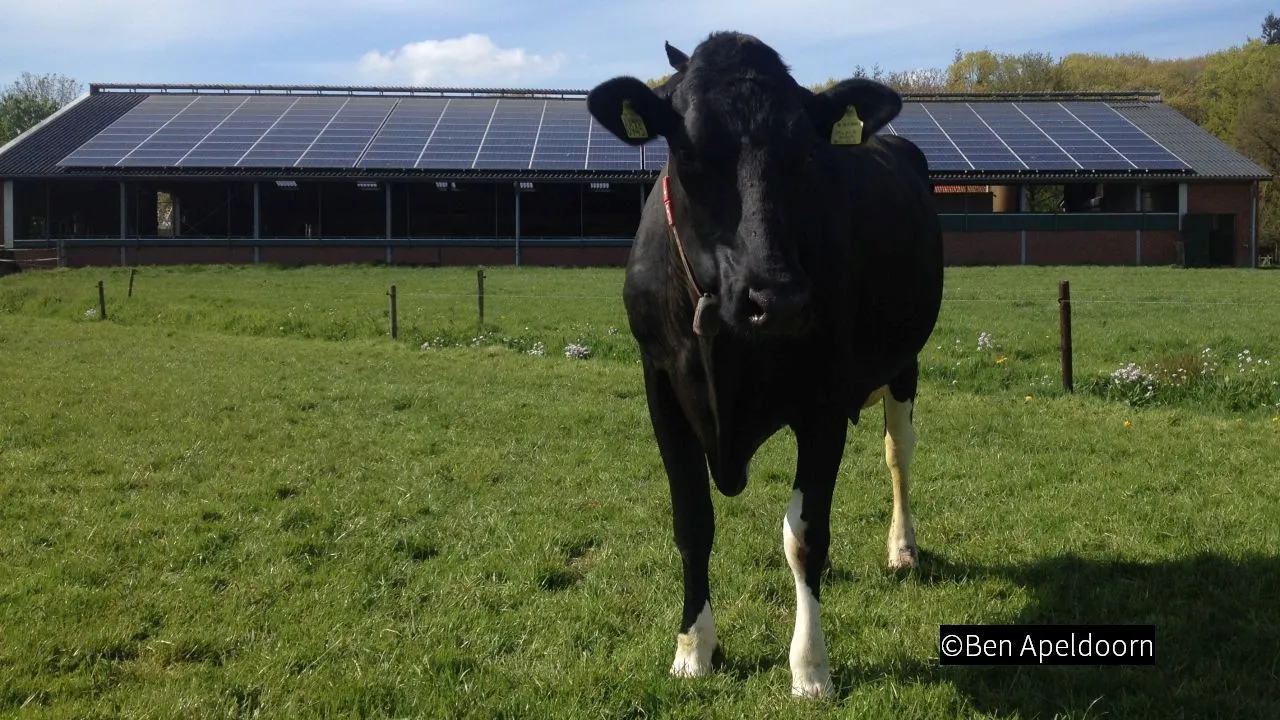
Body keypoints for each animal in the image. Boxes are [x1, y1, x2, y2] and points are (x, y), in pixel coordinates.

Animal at [586, 31, 944, 698]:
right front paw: (693, 648)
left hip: (905, 363)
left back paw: (902, 548)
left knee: (898, 453)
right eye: (688, 151)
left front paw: (810, 667)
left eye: (806, 154)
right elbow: (692, 521)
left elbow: (805, 535)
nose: (776, 298)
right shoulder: (661, 386)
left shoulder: (824, 398)